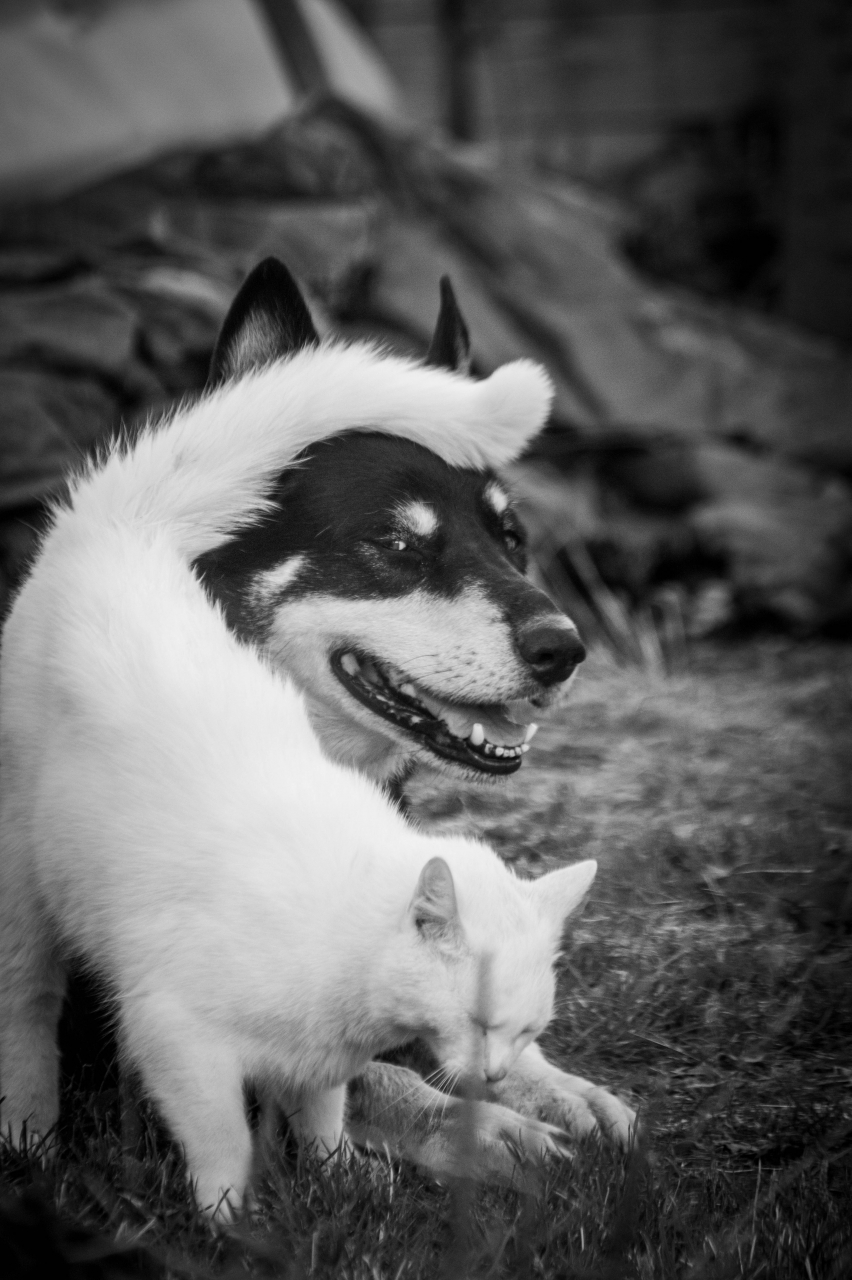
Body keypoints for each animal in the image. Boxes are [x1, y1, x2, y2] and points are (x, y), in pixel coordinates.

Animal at [0, 340, 596, 1218]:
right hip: (24, 897)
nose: (563, 647)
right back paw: (28, 1142)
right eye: (397, 545)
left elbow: (335, 1099)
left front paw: (543, 1088)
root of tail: (122, 533)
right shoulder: (159, 1022)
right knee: (24, 1013)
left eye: (513, 540)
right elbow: (268, 1120)